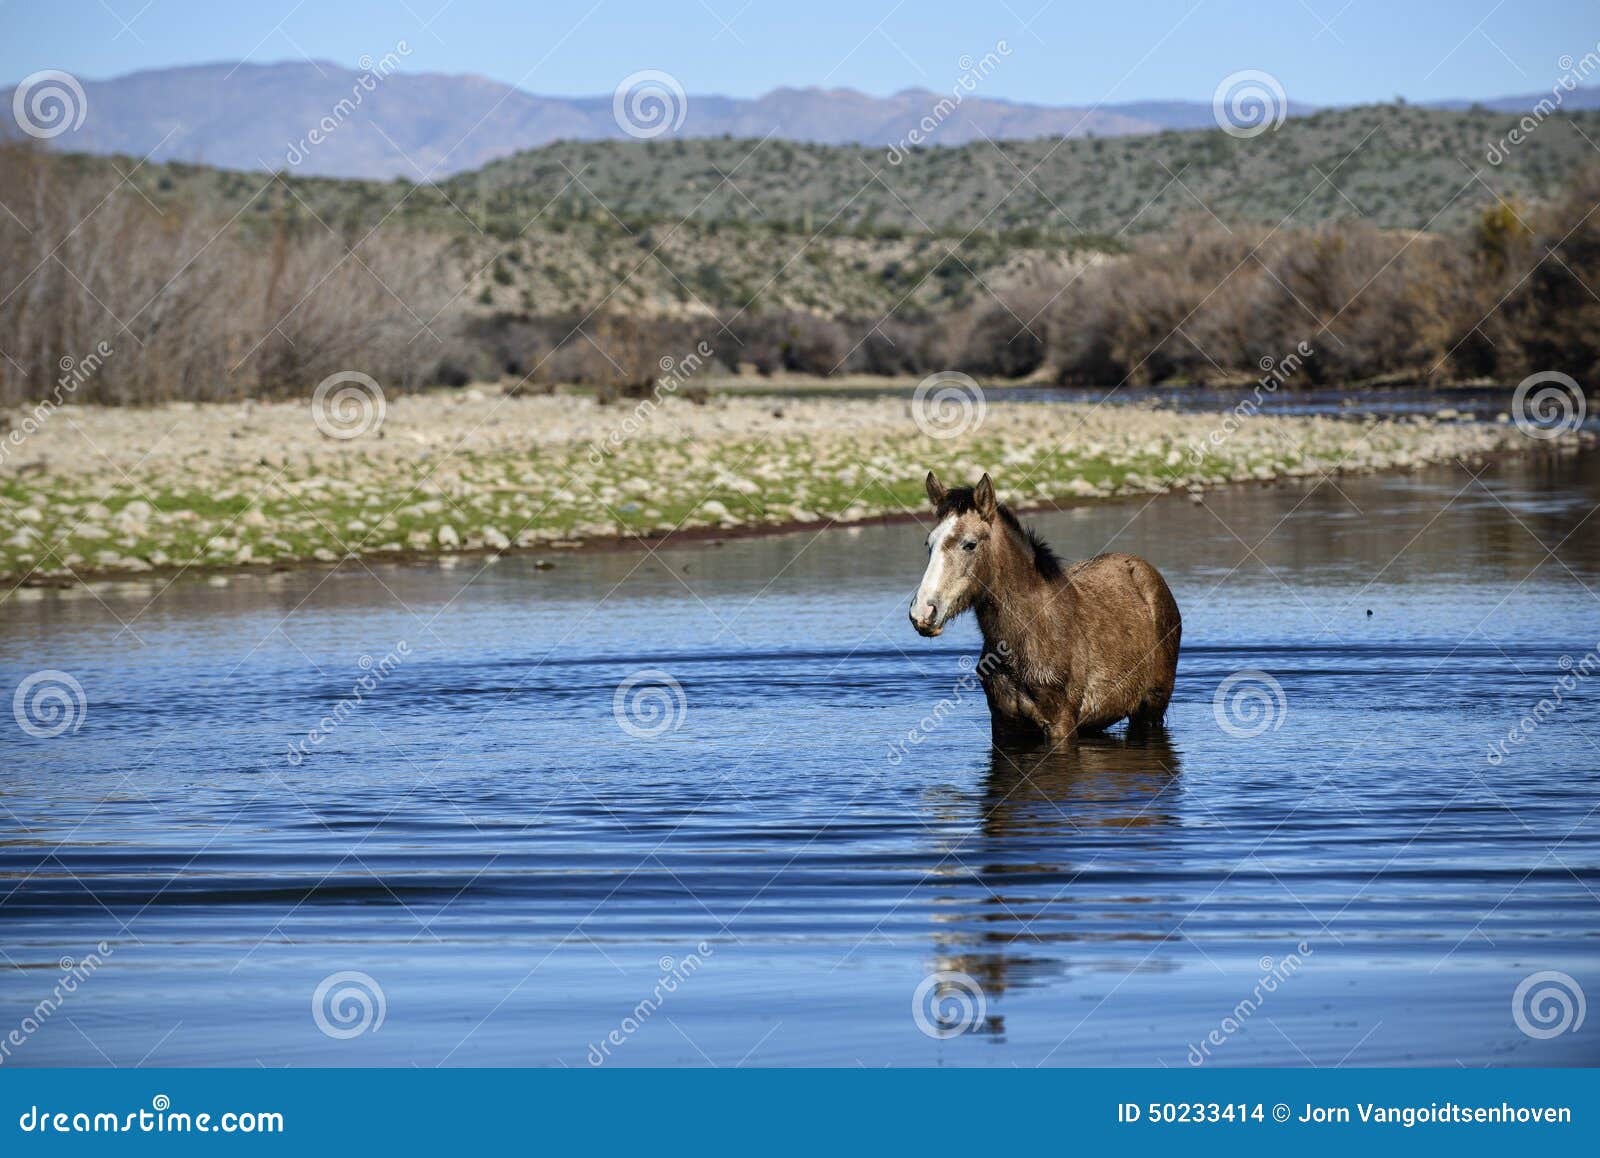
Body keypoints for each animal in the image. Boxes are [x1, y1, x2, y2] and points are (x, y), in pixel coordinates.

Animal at [908, 470, 1184, 742]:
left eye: (970, 544)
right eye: (929, 544)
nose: (923, 612)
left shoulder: (1060, 723)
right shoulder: (1003, 723)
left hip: (1151, 708)